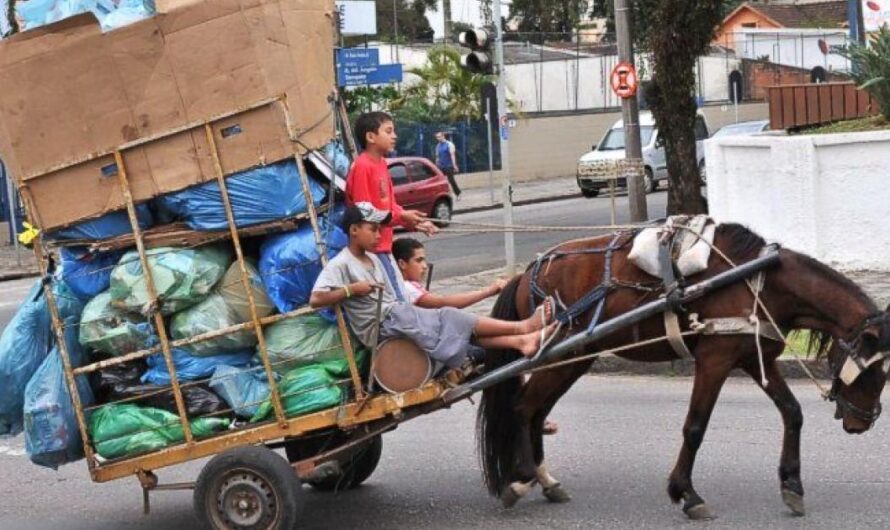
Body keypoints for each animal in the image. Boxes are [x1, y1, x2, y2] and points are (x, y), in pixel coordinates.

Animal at [478, 221, 888, 516]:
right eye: (874, 372)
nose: (860, 423)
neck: (761, 281)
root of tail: (526, 273)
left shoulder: (754, 358)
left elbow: (792, 412)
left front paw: (791, 485)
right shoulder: (715, 360)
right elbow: (695, 427)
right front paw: (687, 494)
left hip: (575, 358)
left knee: (537, 411)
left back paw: (544, 480)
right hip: (558, 356)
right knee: (524, 407)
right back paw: (522, 478)